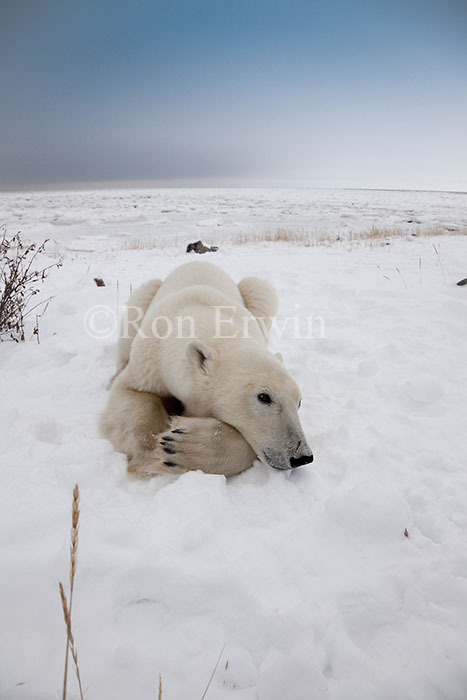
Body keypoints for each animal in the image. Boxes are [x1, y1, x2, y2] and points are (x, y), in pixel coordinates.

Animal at [100, 260, 313, 477]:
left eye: (299, 402)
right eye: (264, 397)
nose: (301, 456)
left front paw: (182, 446)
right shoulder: (150, 359)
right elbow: (133, 393)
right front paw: (150, 453)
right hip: (145, 296)